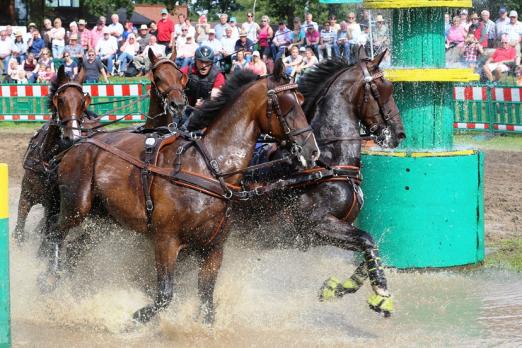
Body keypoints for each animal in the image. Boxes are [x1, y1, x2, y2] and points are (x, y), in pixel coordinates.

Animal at [39, 70, 316, 326]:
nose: (312, 150)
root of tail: (77, 144)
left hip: (106, 218)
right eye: (288, 106)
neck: (208, 168)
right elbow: (164, 295)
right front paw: (135, 318)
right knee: (55, 234)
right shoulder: (166, 241)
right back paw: (49, 277)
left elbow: (206, 298)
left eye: (302, 100)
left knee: (75, 246)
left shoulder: (213, 248)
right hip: (77, 206)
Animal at [234, 50, 404, 316]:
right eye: (384, 89)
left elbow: (368, 248)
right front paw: (382, 295)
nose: (399, 133)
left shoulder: (320, 235)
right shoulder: (317, 224)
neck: (327, 163)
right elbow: (368, 240)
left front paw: (337, 287)